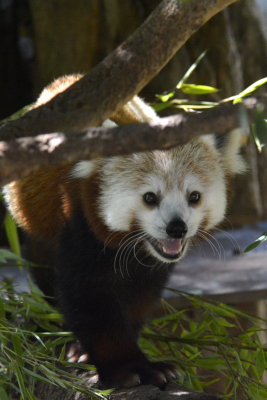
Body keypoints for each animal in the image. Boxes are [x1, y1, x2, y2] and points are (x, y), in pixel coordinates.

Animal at [3, 74, 245, 388]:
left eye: (194, 197)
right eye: (150, 198)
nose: (176, 228)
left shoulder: (153, 266)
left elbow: (137, 298)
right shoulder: (79, 220)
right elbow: (90, 300)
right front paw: (128, 367)